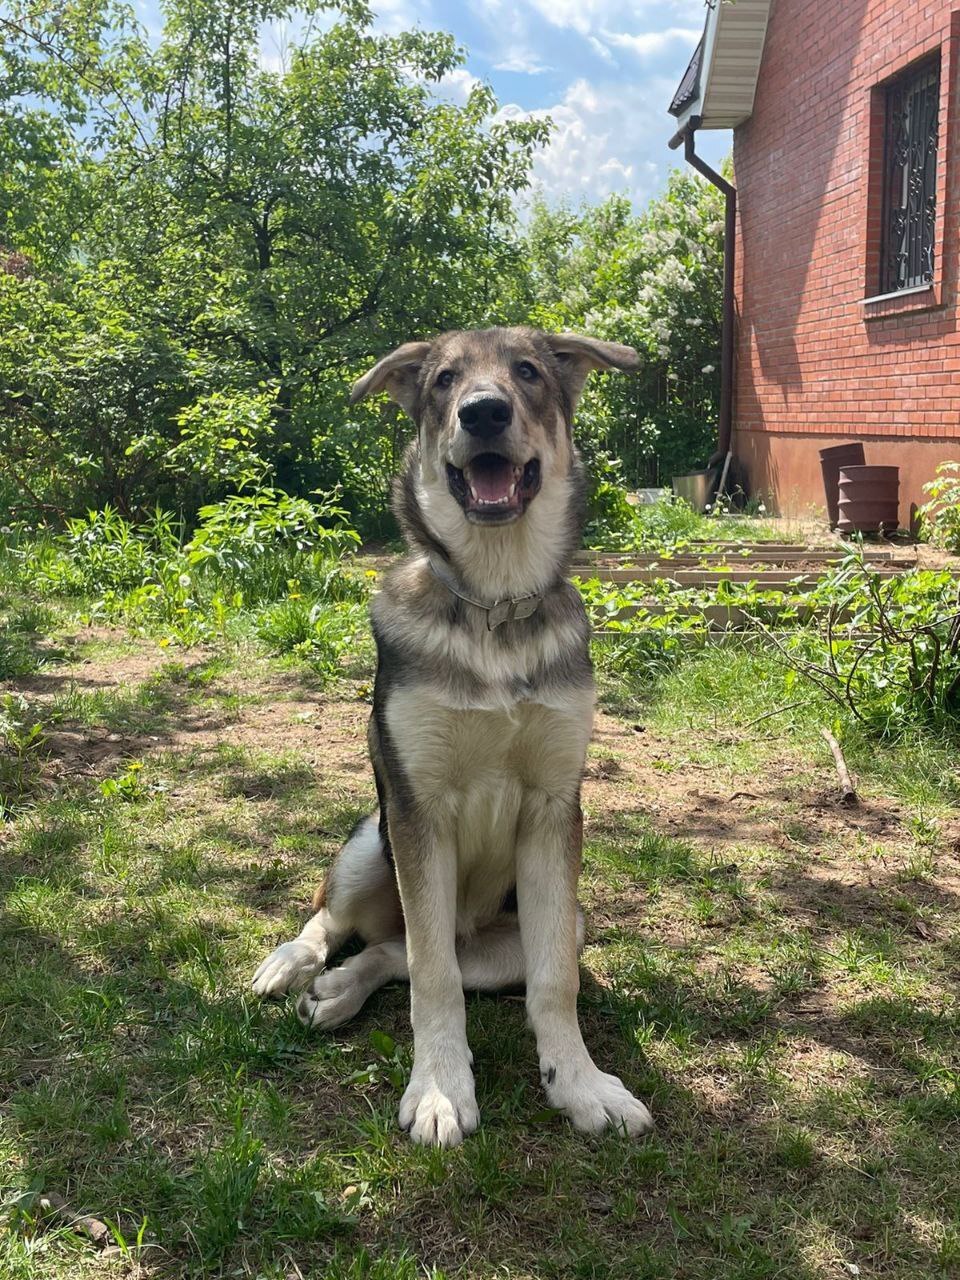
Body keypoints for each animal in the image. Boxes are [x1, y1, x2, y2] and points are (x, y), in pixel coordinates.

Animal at [252, 325, 655, 1146]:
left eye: (528, 372)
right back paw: (295, 963)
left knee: (392, 949)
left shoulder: (553, 810)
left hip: (544, 924)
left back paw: (340, 989)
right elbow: (433, 976)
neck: (493, 607)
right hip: (369, 844)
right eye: (443, 380)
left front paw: (580, 1083)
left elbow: (553, 982)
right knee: (344, 921)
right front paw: (440, 1089)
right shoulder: (419, 811)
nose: (484, 412)